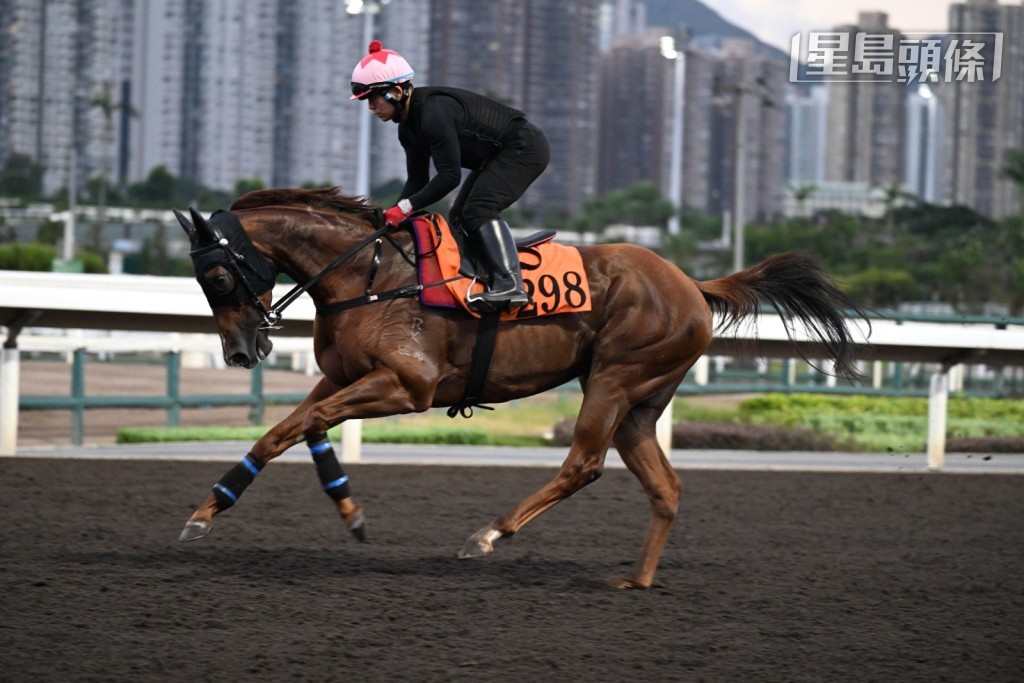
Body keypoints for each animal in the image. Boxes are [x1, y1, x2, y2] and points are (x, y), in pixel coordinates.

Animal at [174, 187, 865, 589]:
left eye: (217, 274)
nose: (241, 352)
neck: (371, 277)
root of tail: (692, 284)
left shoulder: (406, 385)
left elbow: (311, 426)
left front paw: (352, 513)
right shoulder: (341, 377)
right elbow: (276, 436)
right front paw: (206, 512)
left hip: (614, 379)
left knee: (584, 463)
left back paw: (488, 535)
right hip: (640, 403)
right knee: (664, 486)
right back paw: (636, 582)